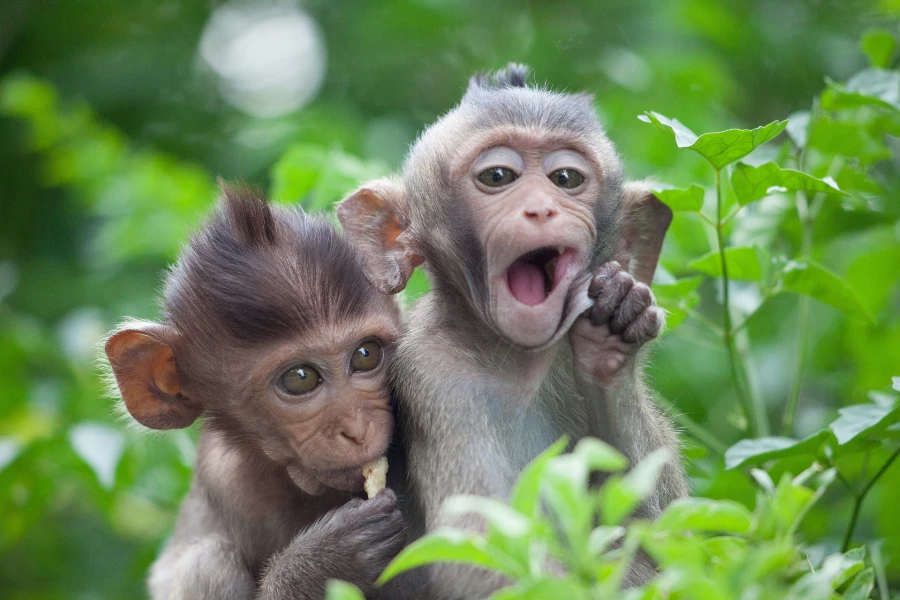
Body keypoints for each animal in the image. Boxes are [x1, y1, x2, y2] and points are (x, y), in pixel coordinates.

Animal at [103, 184, 406, 600]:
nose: (357, 429)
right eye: (299, 378)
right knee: (205, 564)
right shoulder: (228, 480)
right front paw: (323, 564)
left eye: (366, 354)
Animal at [338, 64, 688, 598]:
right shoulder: (436, 375)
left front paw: (613, 336)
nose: (542, 208)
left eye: (565, 179)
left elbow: (680, 536)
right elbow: (479, 549)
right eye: (498, 177)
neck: (519, 359)